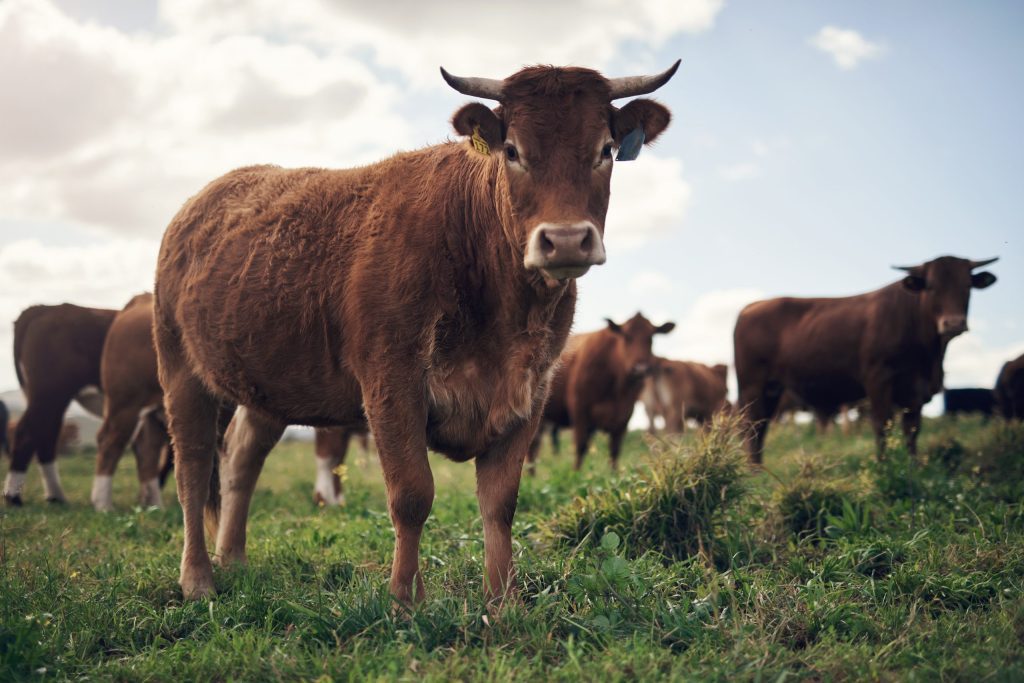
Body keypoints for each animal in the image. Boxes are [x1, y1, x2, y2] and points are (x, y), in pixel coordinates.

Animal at [532, 313, 675, 473]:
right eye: (627, 336)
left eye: (651, 338)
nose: (641, 368)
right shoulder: (580, 411)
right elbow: (581, 446)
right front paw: (576, 473)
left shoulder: (624, 417)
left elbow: (614, 450)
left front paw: (613, 473)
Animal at [737, 255, 999, 464]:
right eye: (931, 287)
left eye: (967, 286)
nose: (953, 323)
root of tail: (752, 306)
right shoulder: (878, 380)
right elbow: (882, 425)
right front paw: (885, 467)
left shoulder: (915, 391)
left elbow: (912, 430)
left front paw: (913, 467)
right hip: (753, 385)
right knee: (752, 427)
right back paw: (754, 471)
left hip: (772, 389)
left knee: (761, 427)